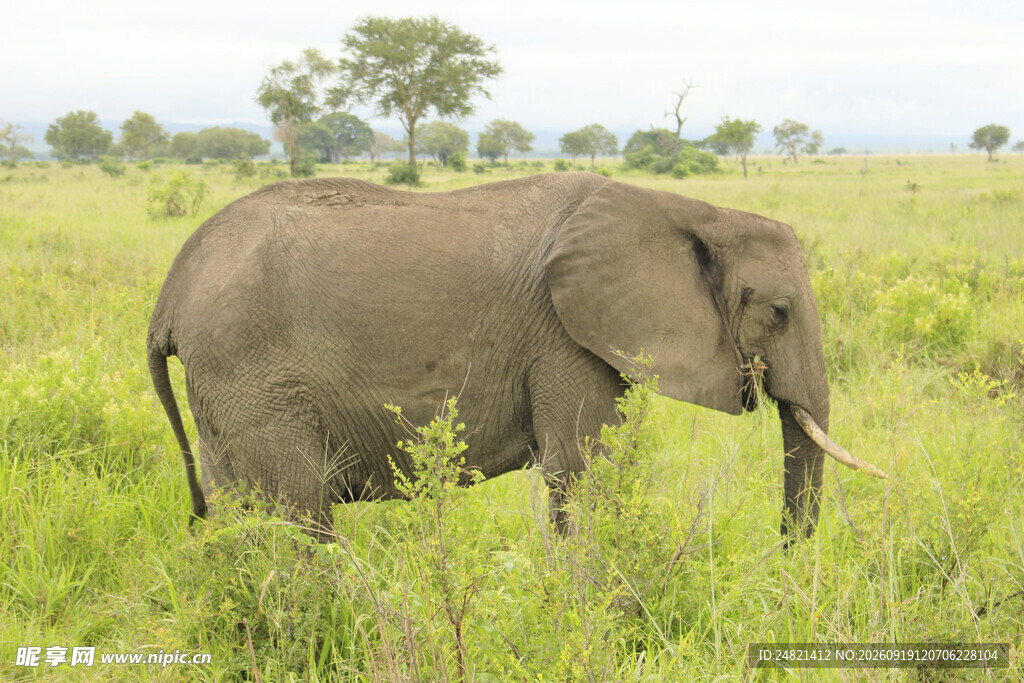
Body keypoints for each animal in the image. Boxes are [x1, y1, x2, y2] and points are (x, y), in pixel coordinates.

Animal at [148, 172, 885, 541]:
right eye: (779, 312)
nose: (784, 555)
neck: (690, 209)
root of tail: (169, 295)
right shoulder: (560, 335)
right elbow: (583, 471)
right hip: (252, 373)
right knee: (297, 512)